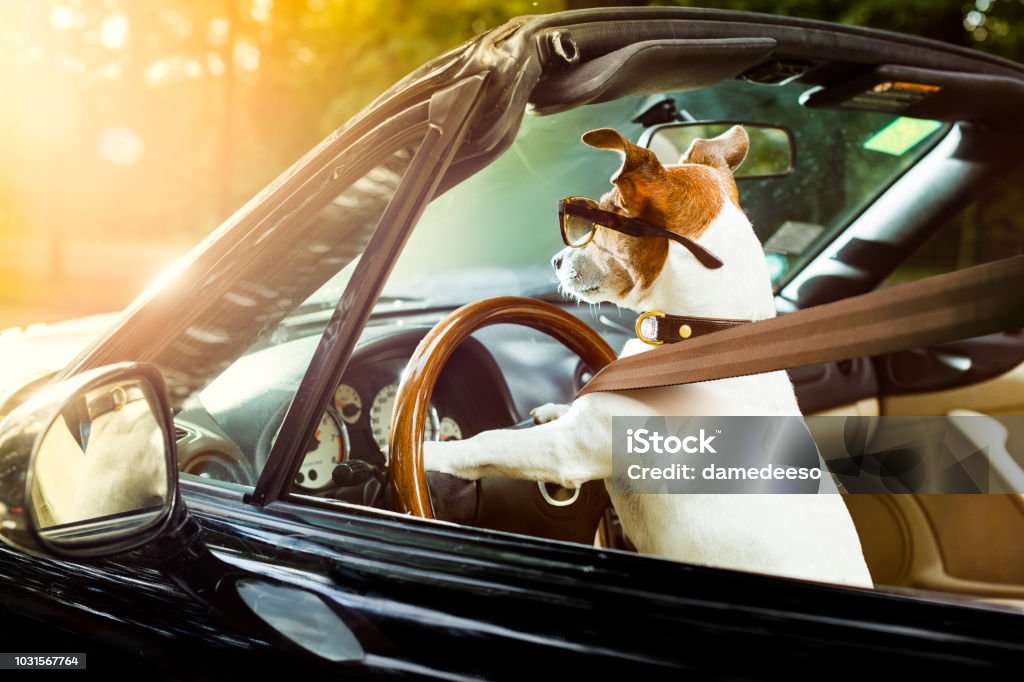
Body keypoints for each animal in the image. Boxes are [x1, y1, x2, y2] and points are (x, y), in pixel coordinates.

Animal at [423, 125, 872, 585]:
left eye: (596, 218)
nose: (555, 259)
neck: (697, 335)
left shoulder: (568, 449)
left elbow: (490, 441)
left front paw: (429, 453)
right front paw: (550, 407)